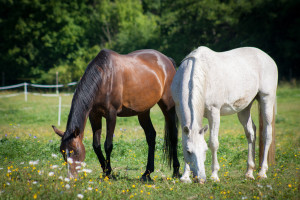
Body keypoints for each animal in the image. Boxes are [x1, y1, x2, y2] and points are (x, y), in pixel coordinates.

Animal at [51, 48, 179, 181]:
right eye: (62, 152)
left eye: (75, 151)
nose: (70, 177)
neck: (104, 78)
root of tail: (167, 60)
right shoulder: (94, 115)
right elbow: (96, 145)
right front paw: (105, 170)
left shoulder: (111, 115)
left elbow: (108, 145)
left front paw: (109, 173)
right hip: (143, 111)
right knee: (151, 136)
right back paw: (147, 174)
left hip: (168, 107)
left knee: (173, 135)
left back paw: (176, 172)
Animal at [170, 46, 278, 183]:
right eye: (189, 151)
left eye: (205, 150)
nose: (201, 179)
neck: (201, 73)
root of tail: (267, 57)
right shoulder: (179, 111)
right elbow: (184, 141)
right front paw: (185, 176)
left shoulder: (214, 111)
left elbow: (213, 143)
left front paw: (214, 175)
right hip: (244, 108)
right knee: (251, 133)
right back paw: (249, 172)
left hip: (266, 99)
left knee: (267, 134)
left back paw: (262, 172)